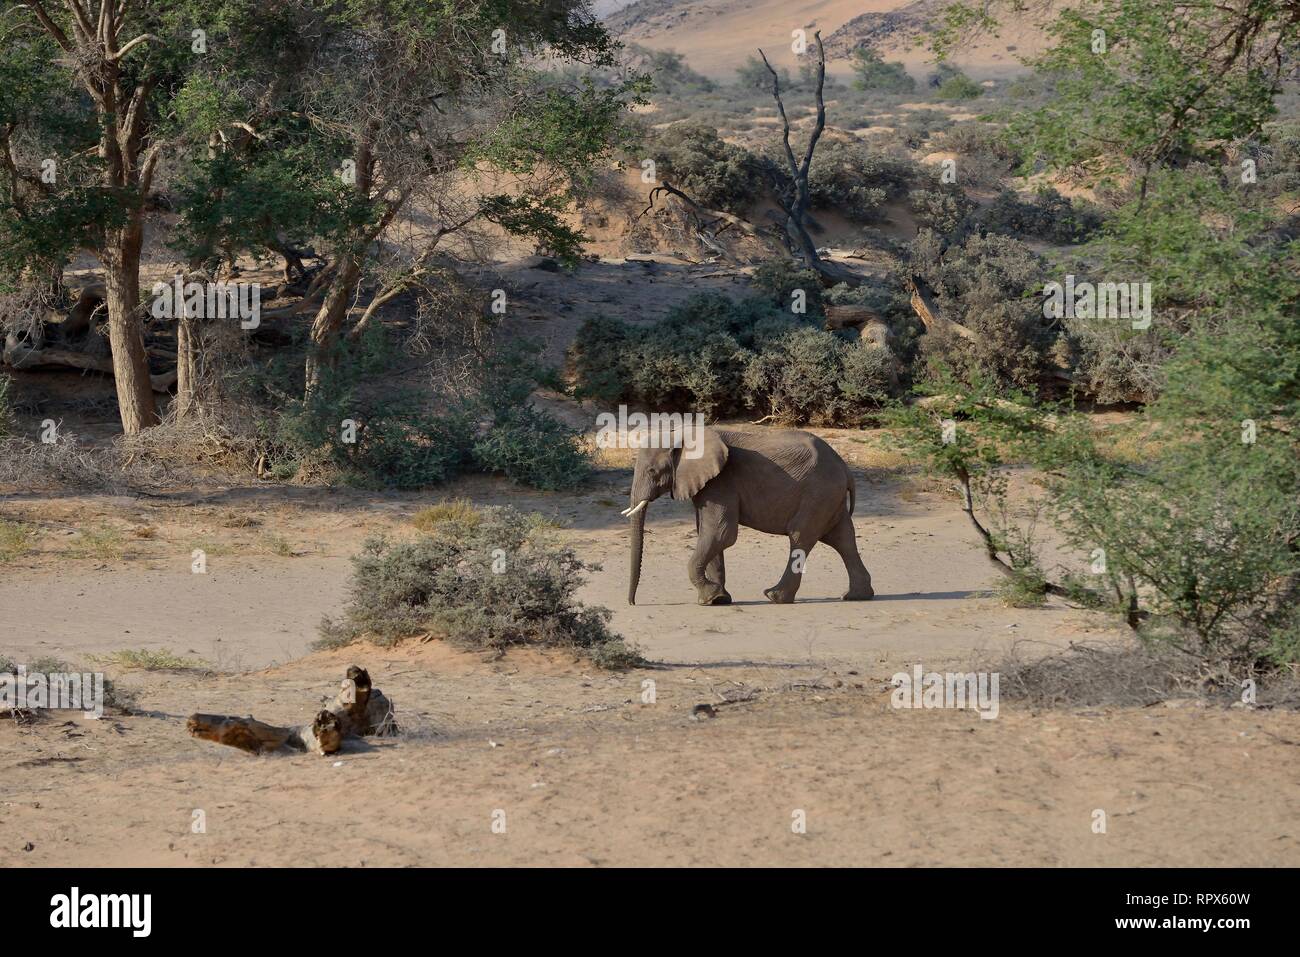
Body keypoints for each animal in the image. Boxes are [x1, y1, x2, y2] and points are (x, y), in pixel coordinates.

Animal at [626, 429, 878, 605]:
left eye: (652, 471)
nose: (632, 603)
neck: (683, 434)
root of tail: (845, 468)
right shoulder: (708, 485)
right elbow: (708, 534)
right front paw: (719, 599)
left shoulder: (721, 482)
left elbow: (721, 534)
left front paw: (709, 598)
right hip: (829, 496)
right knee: (842, 539)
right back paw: (856, 596)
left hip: (818, 493)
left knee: (801, 536)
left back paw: (774, 597)